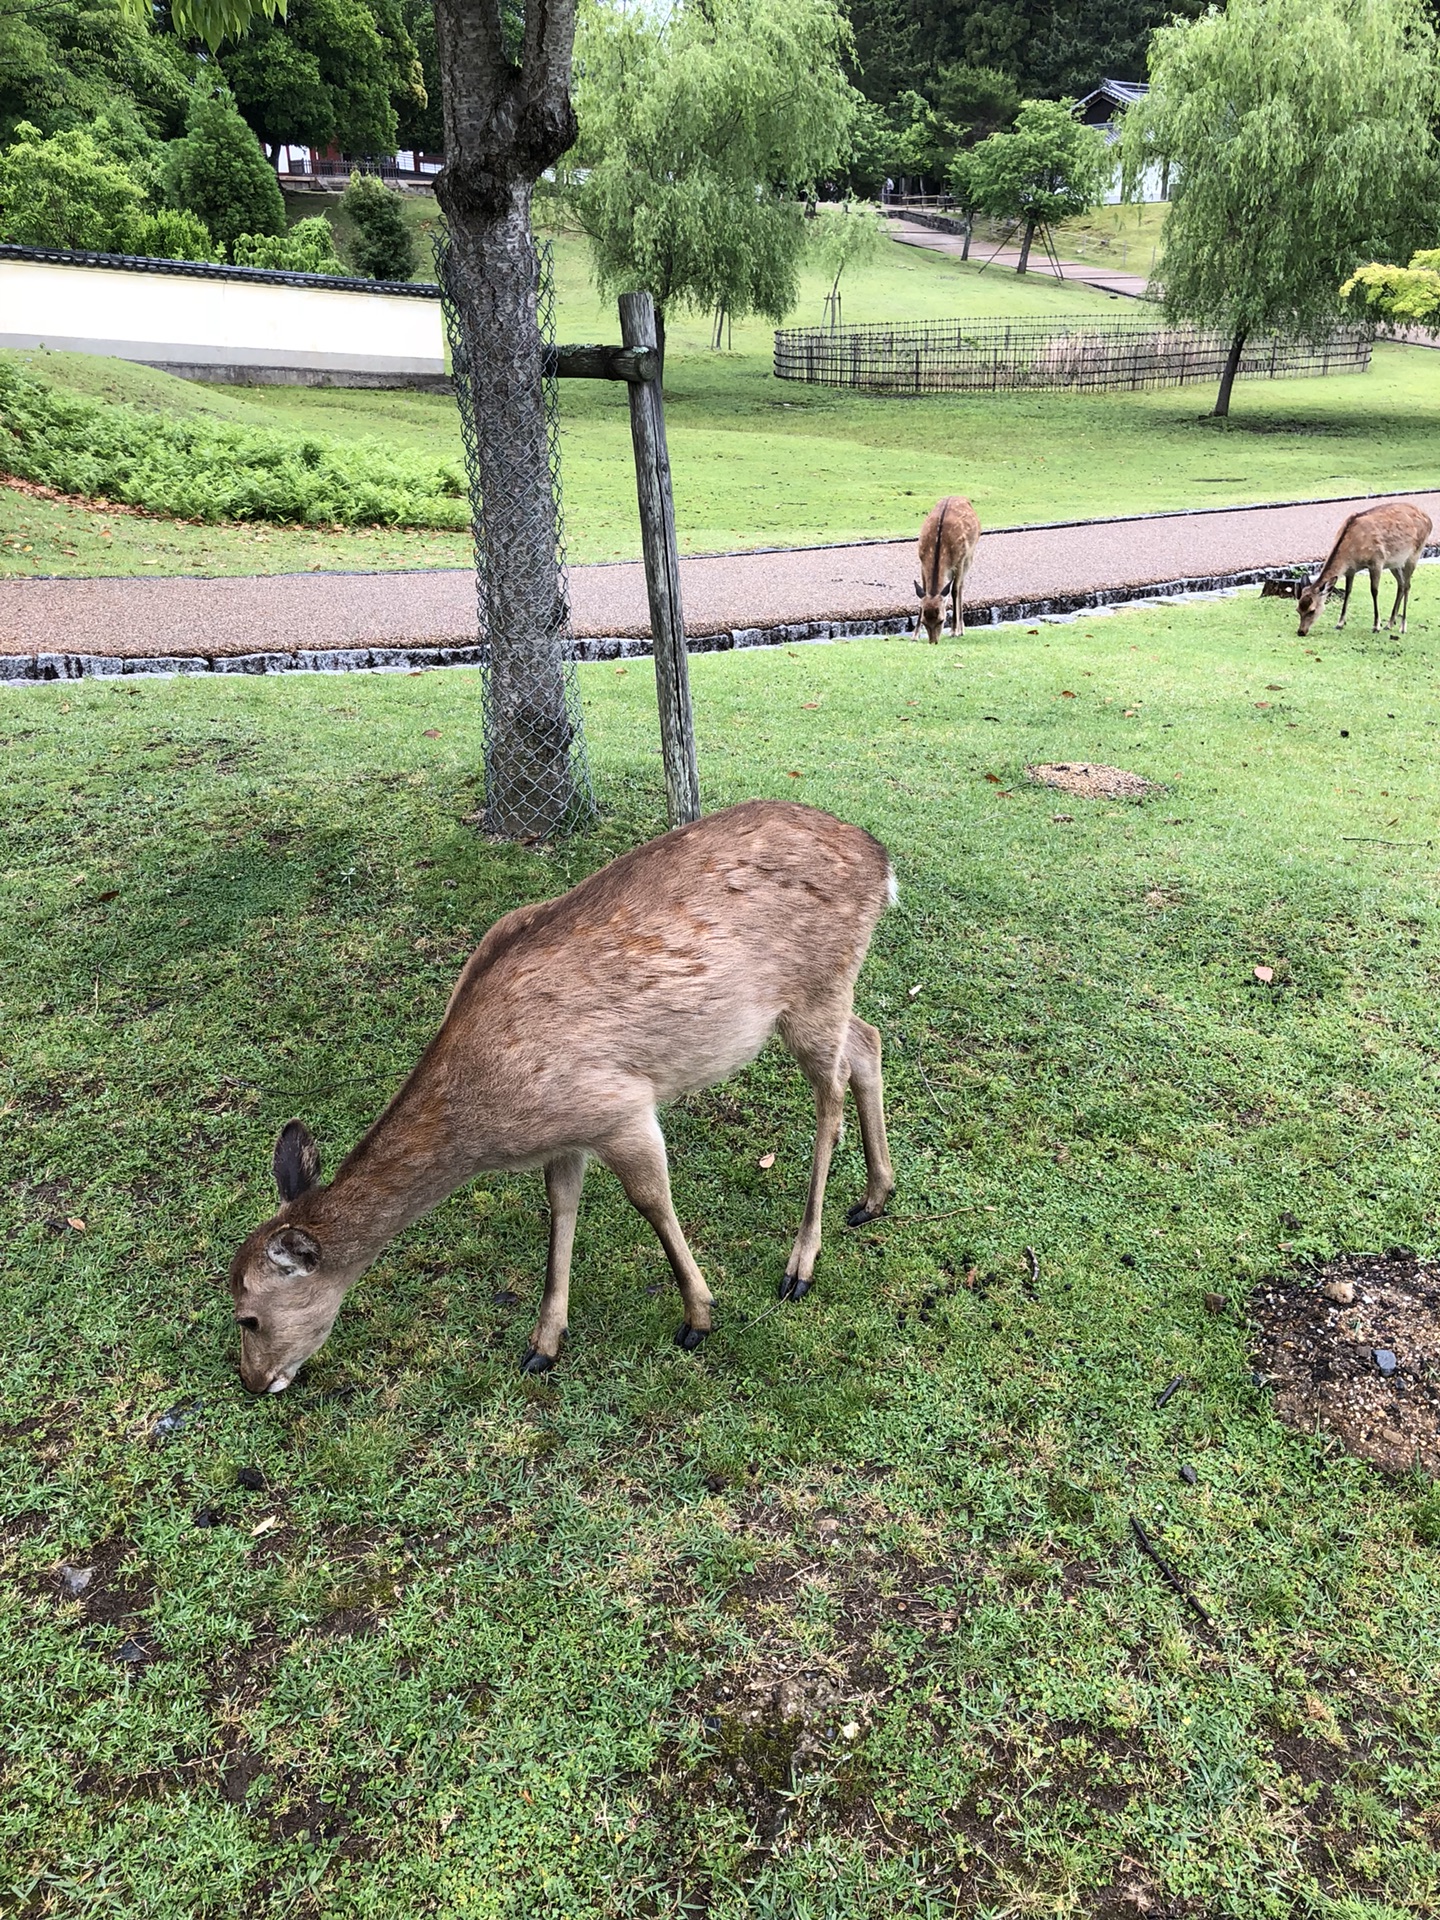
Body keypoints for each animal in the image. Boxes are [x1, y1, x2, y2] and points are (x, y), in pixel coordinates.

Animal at [229, 798, 898, 1397]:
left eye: (247, 1316)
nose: (254, 1382)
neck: (492, 1120)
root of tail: (882, 859)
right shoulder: (566, 1135)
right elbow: (560, 1209)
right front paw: (543, 1343)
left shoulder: (619, 1106)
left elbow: (652, 1202)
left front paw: (698, 1316)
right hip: (821, 999)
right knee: (867, 1040)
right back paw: (874, 1197)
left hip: (816, 988)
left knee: (831, 1094)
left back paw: (800, 1264)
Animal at [917, 495, 990, 645]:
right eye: (924, 621)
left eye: (941, 620)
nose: (933, 642)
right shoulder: (922, 562)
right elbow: (923, 590)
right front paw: (915, 636)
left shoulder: (959, 561)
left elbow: (954, 591)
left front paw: (953, 631)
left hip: (969, 556)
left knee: (960, 586)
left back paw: (961, 630)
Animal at [1297, 503, 1436, 637]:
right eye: (1298, 609)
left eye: (1312, 610)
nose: (1301, 632)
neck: (1351, 552)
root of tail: (1429, 520)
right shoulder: (1351, 570)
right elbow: (1348, 592)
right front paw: (1340, 623)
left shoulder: (1377, 562)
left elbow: (1374, 591)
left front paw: (1376, 626)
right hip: (1395, 562)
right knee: (1401, 584)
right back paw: (1390, 624)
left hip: (1415, 554)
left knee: (1407, 585)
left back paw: (1402, 627)